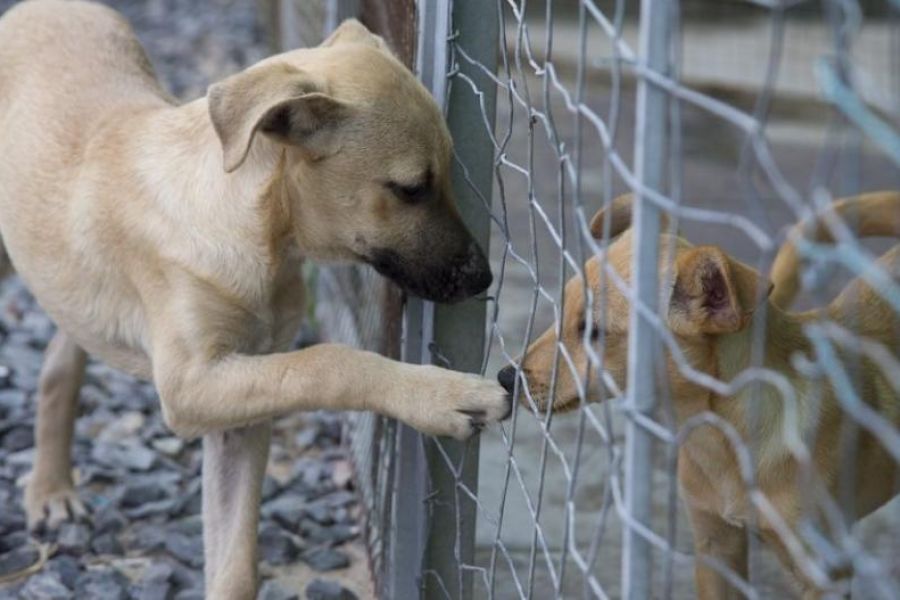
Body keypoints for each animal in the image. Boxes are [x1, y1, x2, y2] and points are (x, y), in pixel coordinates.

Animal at [0, 2, 510, 596]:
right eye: (410, 188)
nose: (481, 278)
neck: (255, 228)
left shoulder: (240, 412)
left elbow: (237, 559)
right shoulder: (192, 385)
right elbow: (328, 361)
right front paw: (442, 395)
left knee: (60, 362)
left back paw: (50, 489)